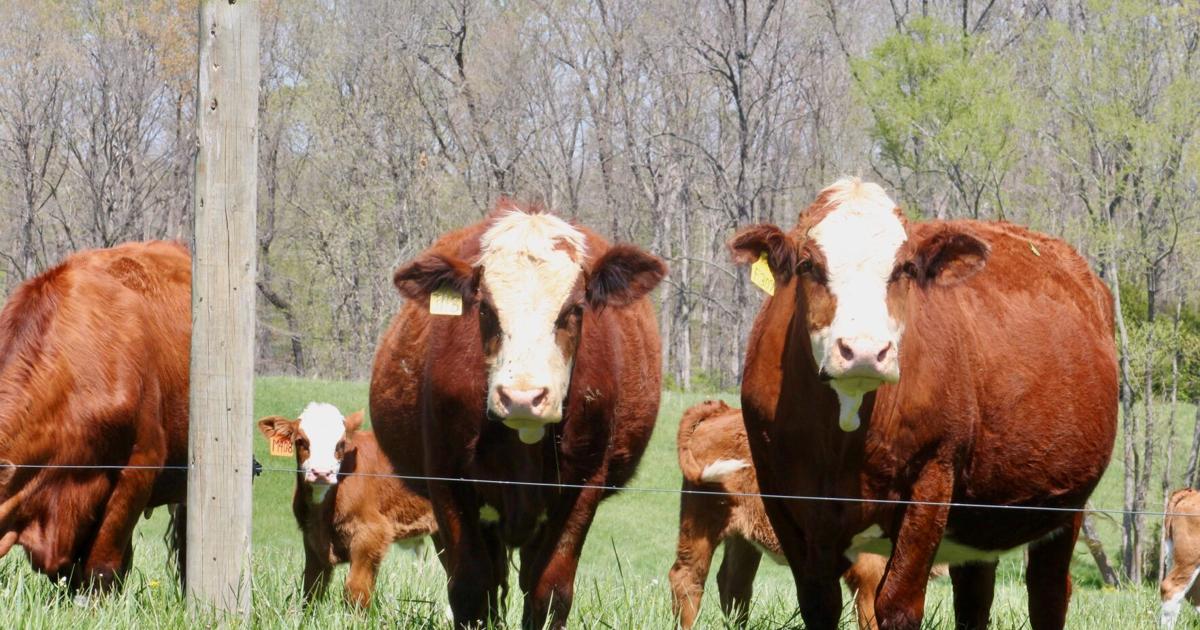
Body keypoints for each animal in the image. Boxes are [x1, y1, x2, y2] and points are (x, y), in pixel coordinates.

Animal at [257, 402, 438, 608]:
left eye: (341, 444)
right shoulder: (311, 536)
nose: (321, 473)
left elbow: (355, 589)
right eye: (301, 441)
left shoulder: (372, 532)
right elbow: (312, 587)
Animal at [369, 200, 666, 629]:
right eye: (485, 308)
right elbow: (471, 587)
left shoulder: (582, 485)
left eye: (575, 309)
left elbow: (550, 589)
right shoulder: (446, 480)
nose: (523, 397)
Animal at [669, 399, 945, 630]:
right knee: (687, 578)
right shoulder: (869, 570)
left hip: (742, 537)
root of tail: (722, 410)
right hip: (701, 523)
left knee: (734, 583)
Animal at [730, 177, 1117, 630]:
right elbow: (818, 604)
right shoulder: (784, 495)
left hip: (1066, 506)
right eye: (808, 264)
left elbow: (898, 603)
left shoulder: (931, 476)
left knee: (1048, 593)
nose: (864, 351)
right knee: (974, 596)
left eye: (905, 269)